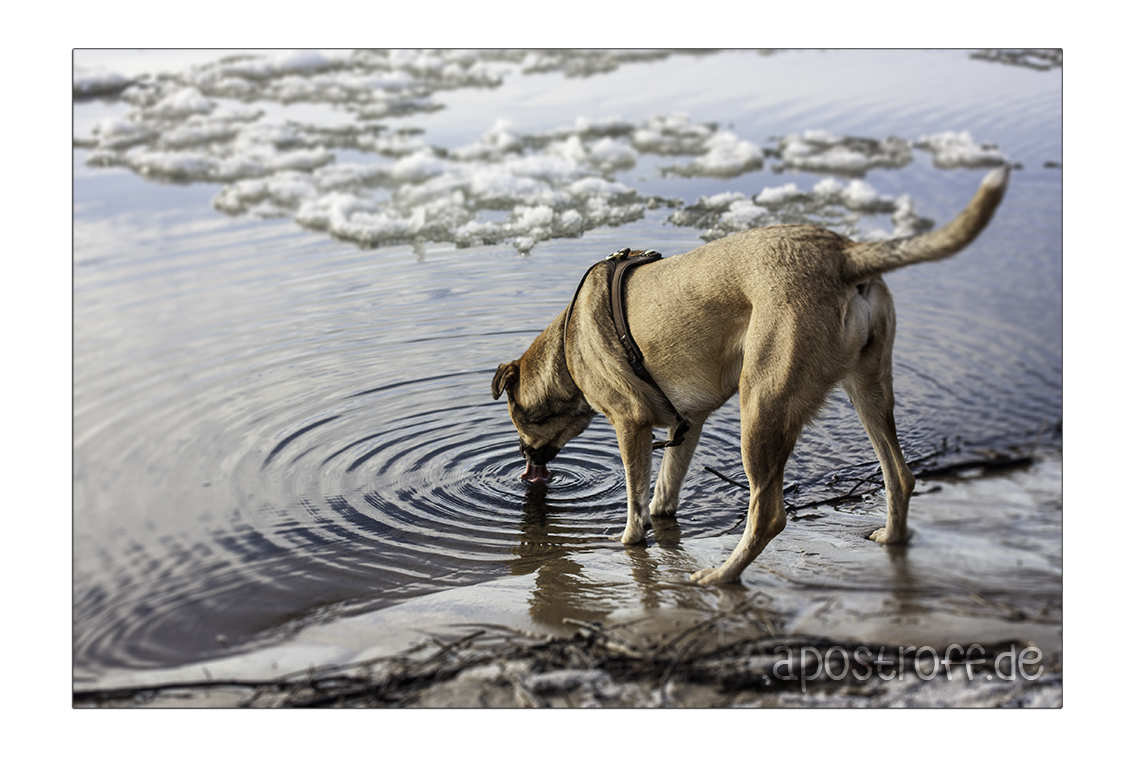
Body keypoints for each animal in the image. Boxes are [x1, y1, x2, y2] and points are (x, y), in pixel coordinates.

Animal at [493, 167, 1008, 581]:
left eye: (518, 422)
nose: (525, 463)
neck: (568, 346)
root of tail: (844, 254)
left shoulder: (630, 423)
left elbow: (636, 500)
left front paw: (629, 541)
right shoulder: (688, 425)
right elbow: (665, 490)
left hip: (761, 405)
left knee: (769, 514)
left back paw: (723, 576)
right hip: (868, 389)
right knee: (899, 475)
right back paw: (892, 538)